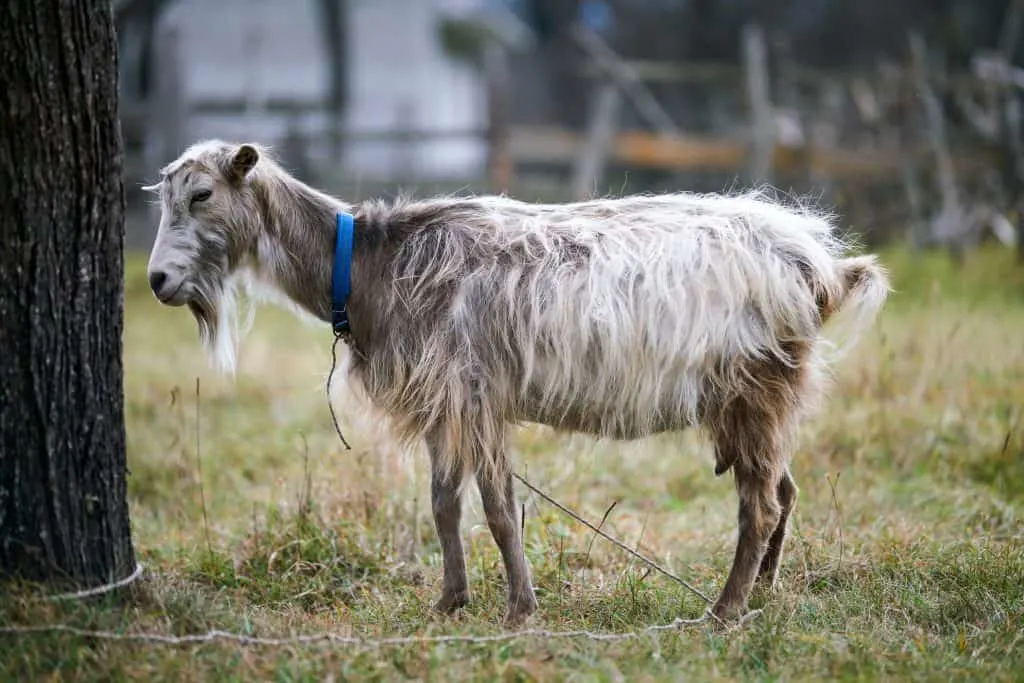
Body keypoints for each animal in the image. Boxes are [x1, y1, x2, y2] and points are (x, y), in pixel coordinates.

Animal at [142, 141, 888, 626]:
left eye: (202, 194)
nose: (157, 280)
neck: (372, 262)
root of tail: (820, 266)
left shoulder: (473, 394)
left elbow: (500, 509)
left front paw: (519, 611)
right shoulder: (445, 401)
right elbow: (444, 504)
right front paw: (449, 602)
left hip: (758, 386)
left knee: (759, 505)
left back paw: (723, 611)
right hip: (755, 400)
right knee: (784, 492)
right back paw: (760, 594)